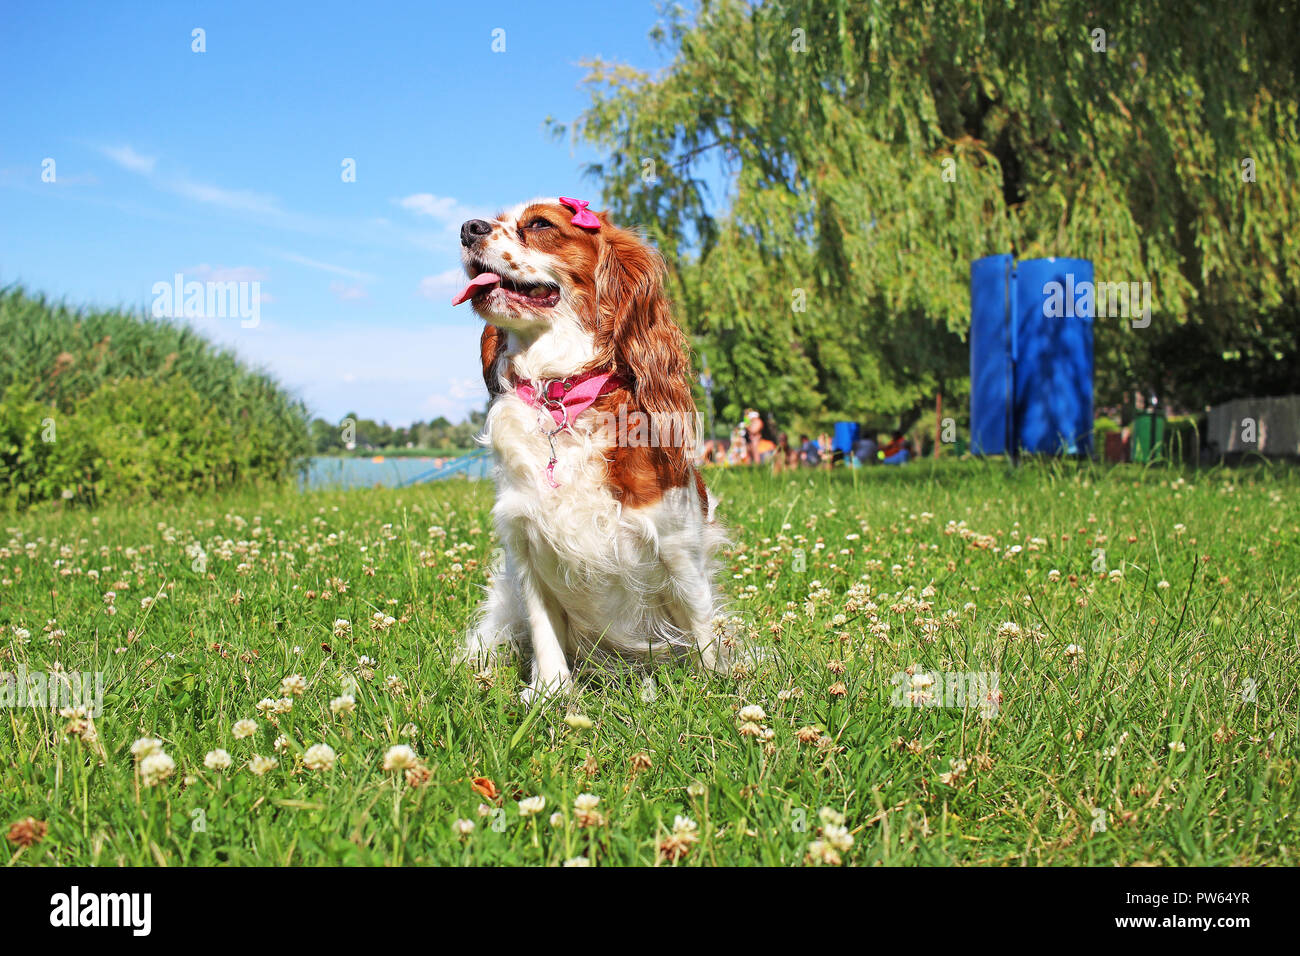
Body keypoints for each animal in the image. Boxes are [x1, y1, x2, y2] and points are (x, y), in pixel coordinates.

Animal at [452, 196, 728, 702]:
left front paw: (718, 687)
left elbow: (702, 626)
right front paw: (550, 693)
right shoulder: (525, 541)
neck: (561, 394)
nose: (468, 227)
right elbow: (543, 630)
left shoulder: (677, 542)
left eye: (540, 224)